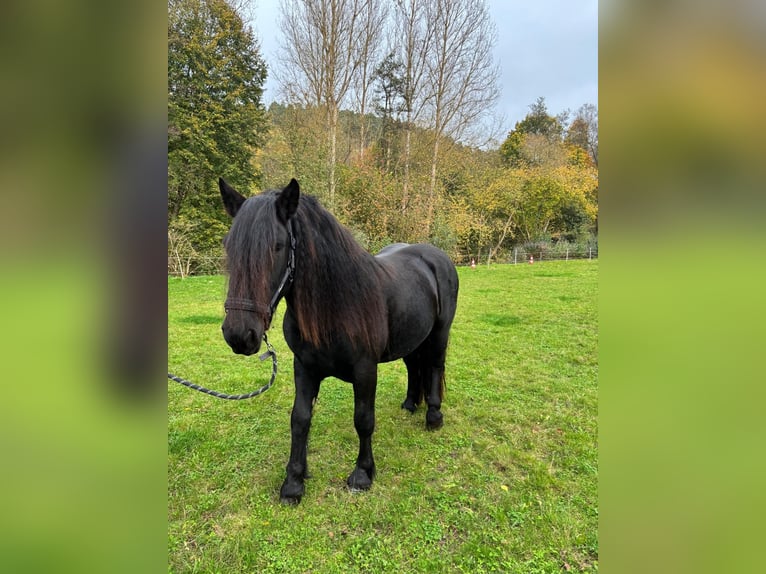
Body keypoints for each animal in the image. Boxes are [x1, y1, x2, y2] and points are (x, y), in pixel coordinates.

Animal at [220, 178, 462, 506]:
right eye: (229, 248)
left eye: (277, 246)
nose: (239, 334)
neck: (336, 305)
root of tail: (435, 256)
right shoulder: (304, 368)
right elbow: (300, 419)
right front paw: (293, 483)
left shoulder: (365, 370)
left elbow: (363, 419)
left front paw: (362, 474)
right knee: (414, 366)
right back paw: (410, 404)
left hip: (438, 334)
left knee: (434, 366)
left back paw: (433, 417)